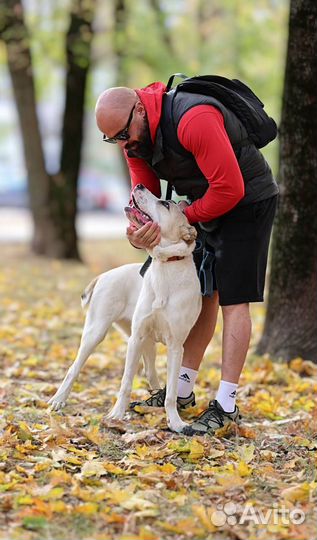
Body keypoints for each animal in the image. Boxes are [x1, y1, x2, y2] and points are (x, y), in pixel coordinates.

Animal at [48, 186, 200, 434]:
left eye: (165, 204)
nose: (138, 186)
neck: (164, 267)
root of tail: (105, 274)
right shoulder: (135, 339)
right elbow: (126, 382)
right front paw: (117, 415)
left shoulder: (176, 346)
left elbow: (171, 392)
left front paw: (175, 422)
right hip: (98, 332)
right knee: (74, 367)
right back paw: (58, 400)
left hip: (146, 342)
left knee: (151, 373)